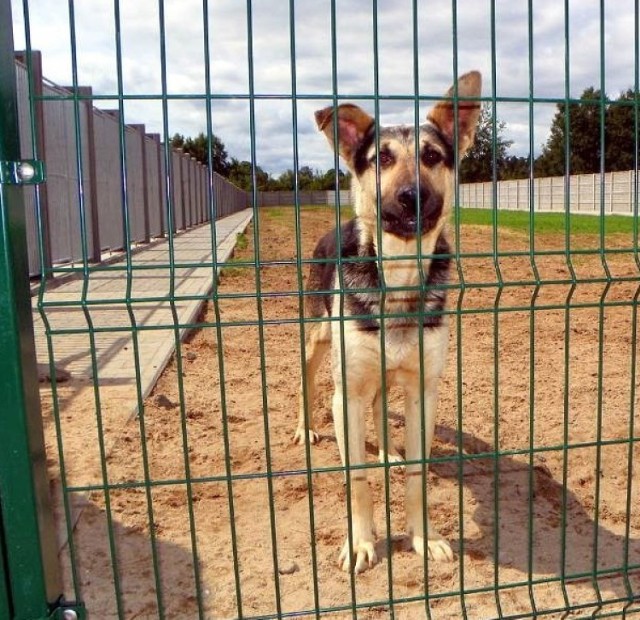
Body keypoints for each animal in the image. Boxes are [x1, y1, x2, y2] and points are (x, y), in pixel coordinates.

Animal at [292, 71, 482, 572]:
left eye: (432, 156)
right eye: (382, 159)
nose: (411, 196)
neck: (395, 276)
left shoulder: (422, 390)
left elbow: (418, 472)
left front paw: (423, 537)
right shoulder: (347, 395)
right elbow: (355, 476)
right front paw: (360, 542)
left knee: (380, 405)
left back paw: (387, 452)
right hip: (319, 339)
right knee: (306, 377)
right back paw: (305, 429)